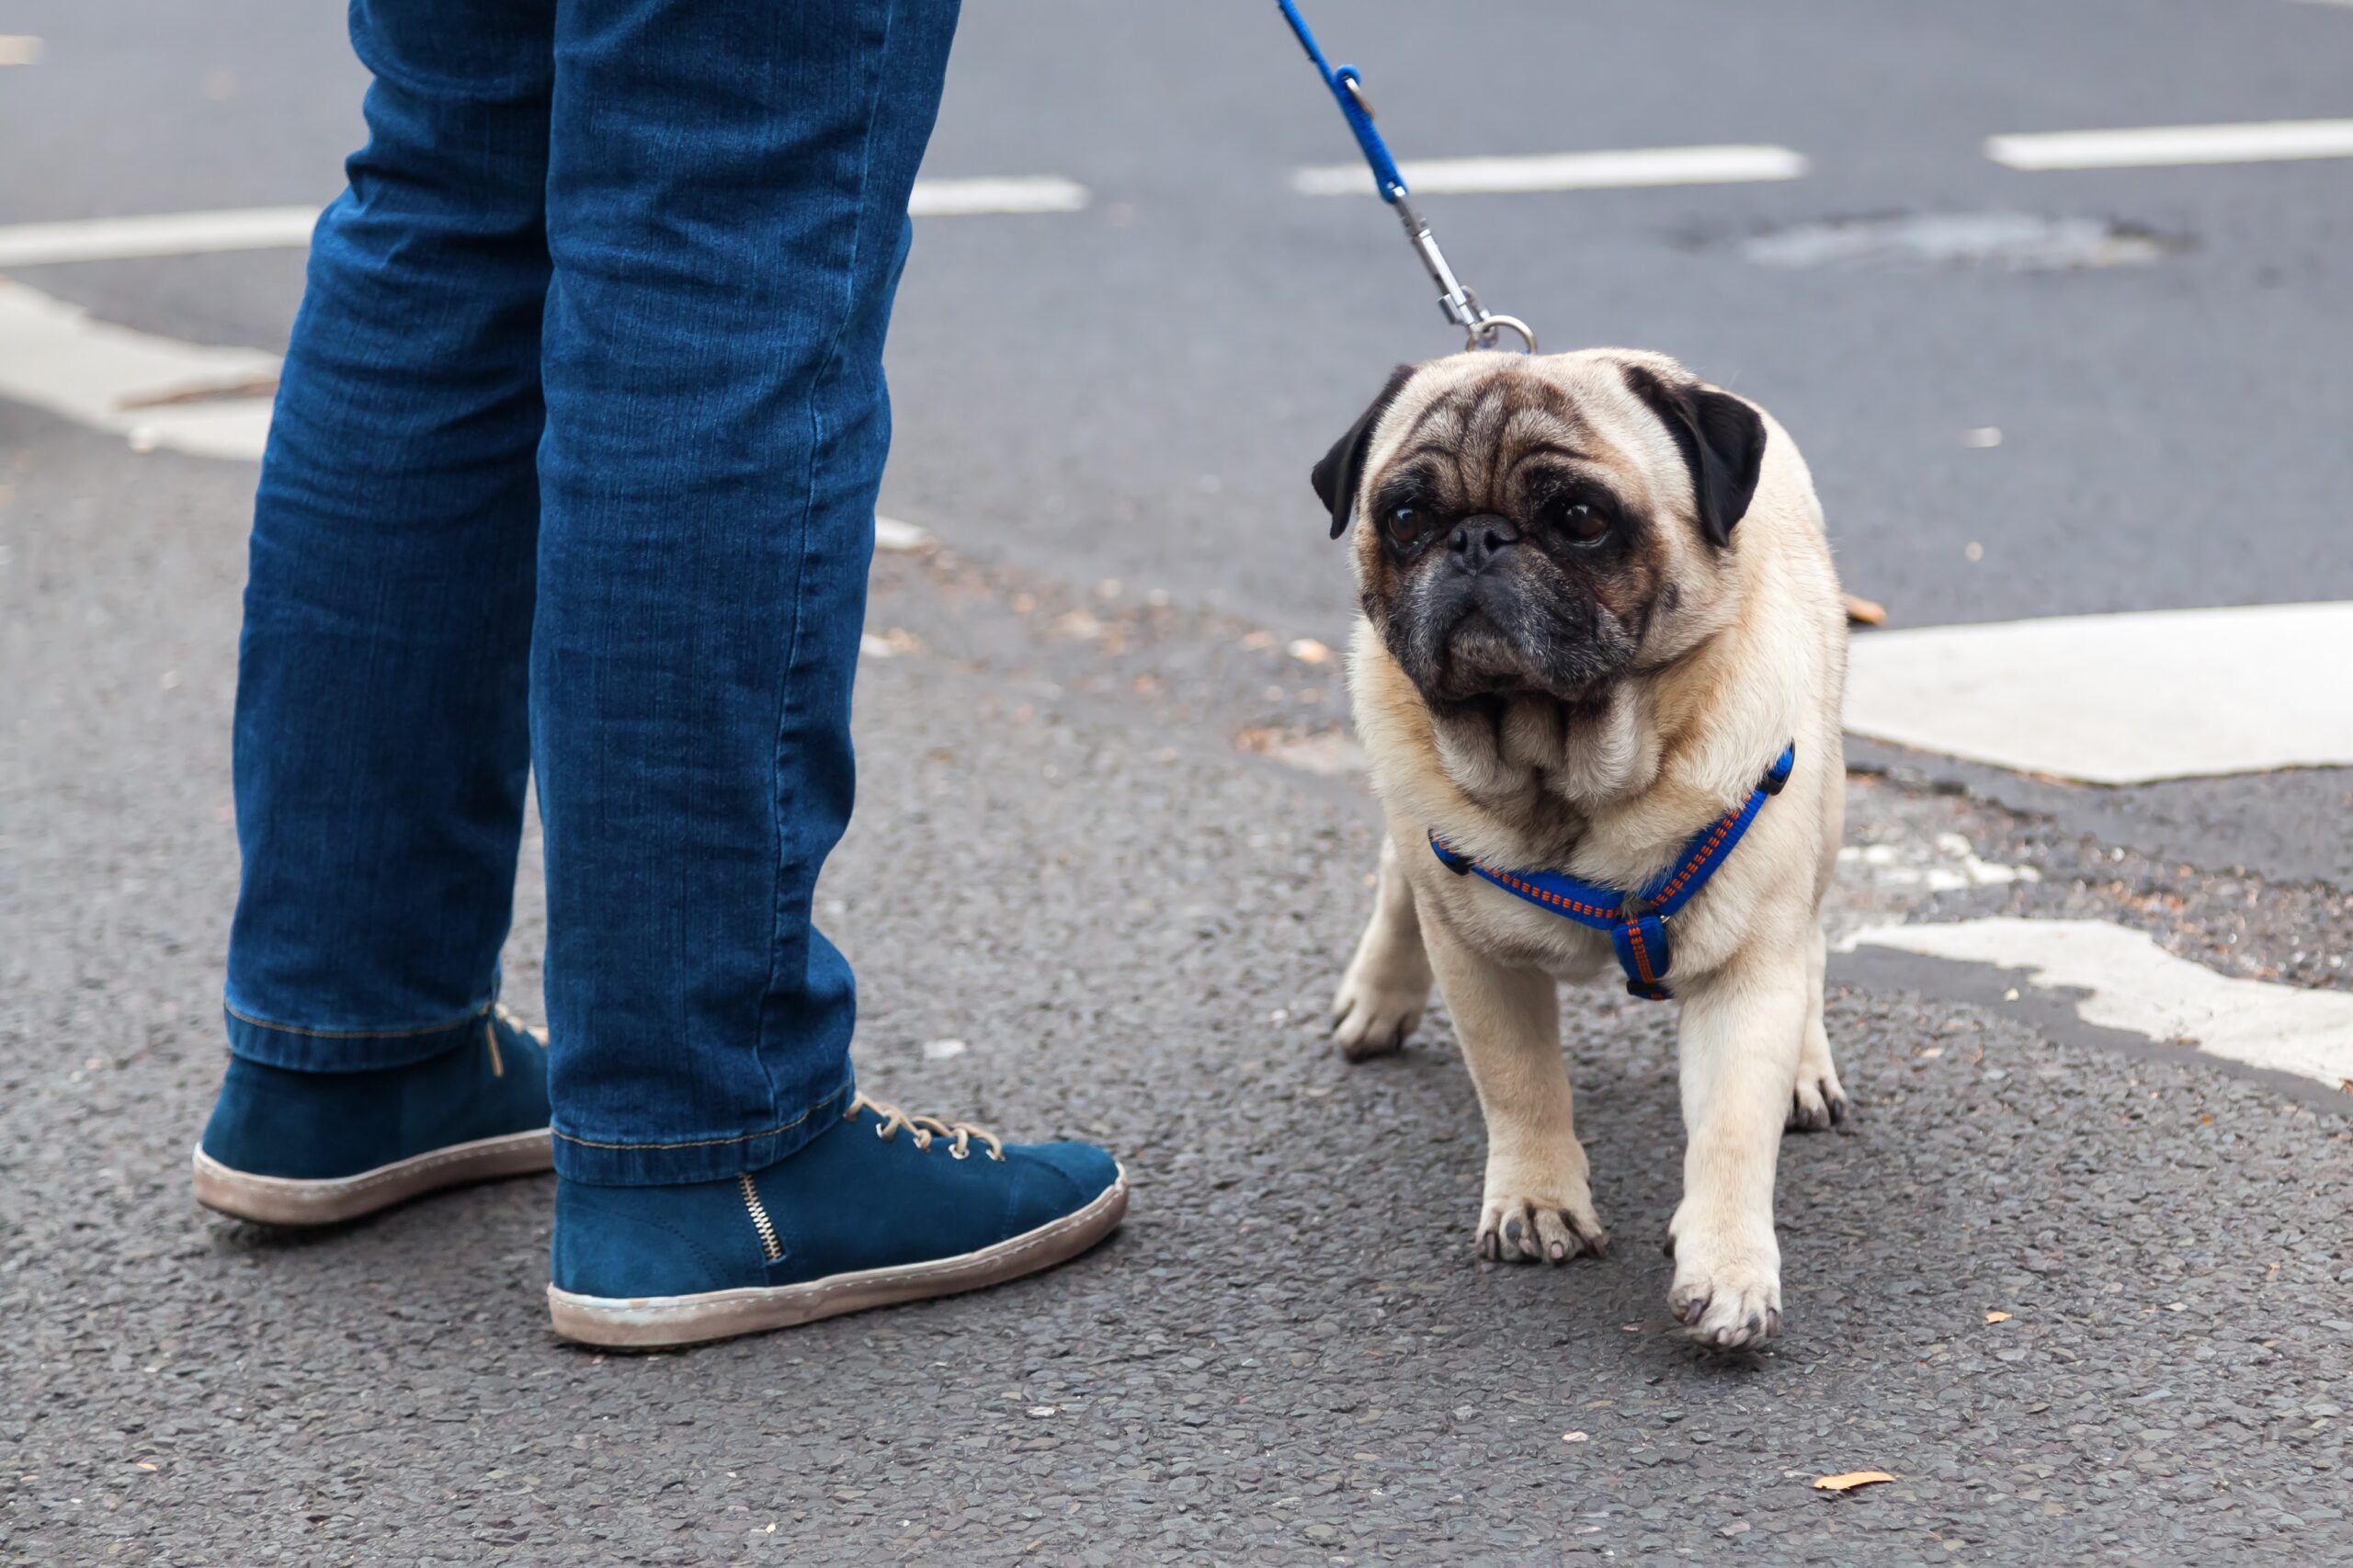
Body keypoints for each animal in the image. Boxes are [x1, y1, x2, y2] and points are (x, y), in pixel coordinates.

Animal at [1326, 346, 1835, 1346]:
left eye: (1580, 518)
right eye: (1405, 518)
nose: (1477, 539)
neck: (1564, 778)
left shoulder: (1747, 970)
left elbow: (1731, 1130)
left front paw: (1729, 1269)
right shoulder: (1475, 954)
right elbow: (1519, 1082)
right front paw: (1536, 1201)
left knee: (1815, 940)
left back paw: (1809, 1064)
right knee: (1399, 876)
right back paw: (1378, 993)